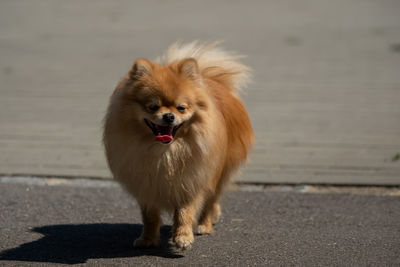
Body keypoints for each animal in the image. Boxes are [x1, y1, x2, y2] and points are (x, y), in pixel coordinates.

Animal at [102, 40, 253, 250]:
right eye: (153, 107)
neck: (166, 152)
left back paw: (204, 225)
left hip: (218, 172)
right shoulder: (146, 184)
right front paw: (147, 239)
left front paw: (183, 237)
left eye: (181, 108)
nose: (169, 116)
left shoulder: (191, 179)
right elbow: (150, 216)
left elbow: (185, 211)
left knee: (210, 200)